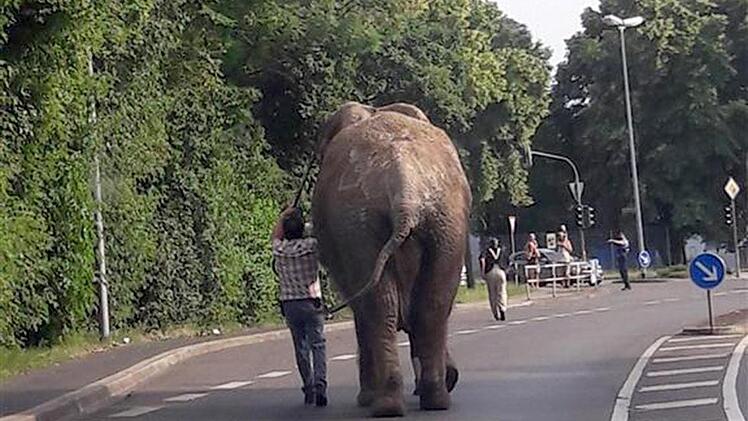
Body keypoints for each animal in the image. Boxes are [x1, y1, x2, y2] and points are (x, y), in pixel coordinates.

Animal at [311, 101, 471, 417]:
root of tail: (404, 187)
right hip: (444, 220)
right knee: (431, 304)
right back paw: (431, 399)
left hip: (360, 222)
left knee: (381, 307)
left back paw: (388, 403)